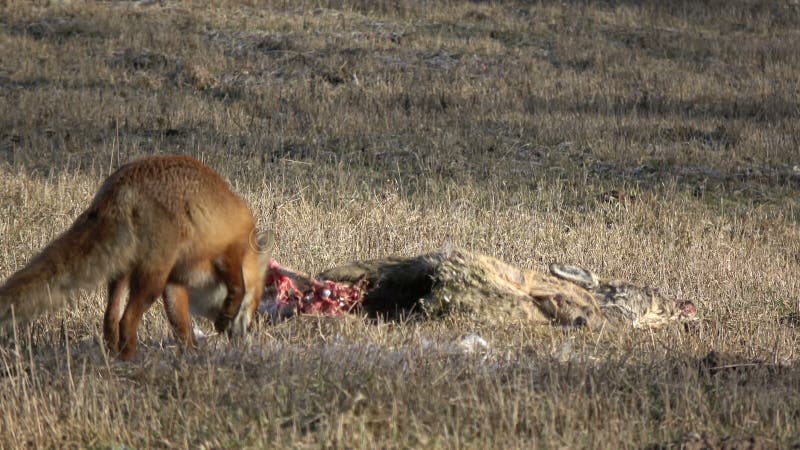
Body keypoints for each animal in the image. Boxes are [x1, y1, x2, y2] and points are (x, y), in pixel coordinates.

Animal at [0, 156, 270, 360]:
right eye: (257, 303)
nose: (246, 335)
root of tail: (122, 186)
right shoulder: (228, 251)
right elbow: (237, 285)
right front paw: (225, 315)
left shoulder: (173, 282)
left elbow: (181, 325)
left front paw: (193, 356)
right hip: (151, 279)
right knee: (126, 320)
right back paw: (130, 357)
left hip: (123, 273)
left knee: (110, 318)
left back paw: (113, 357)